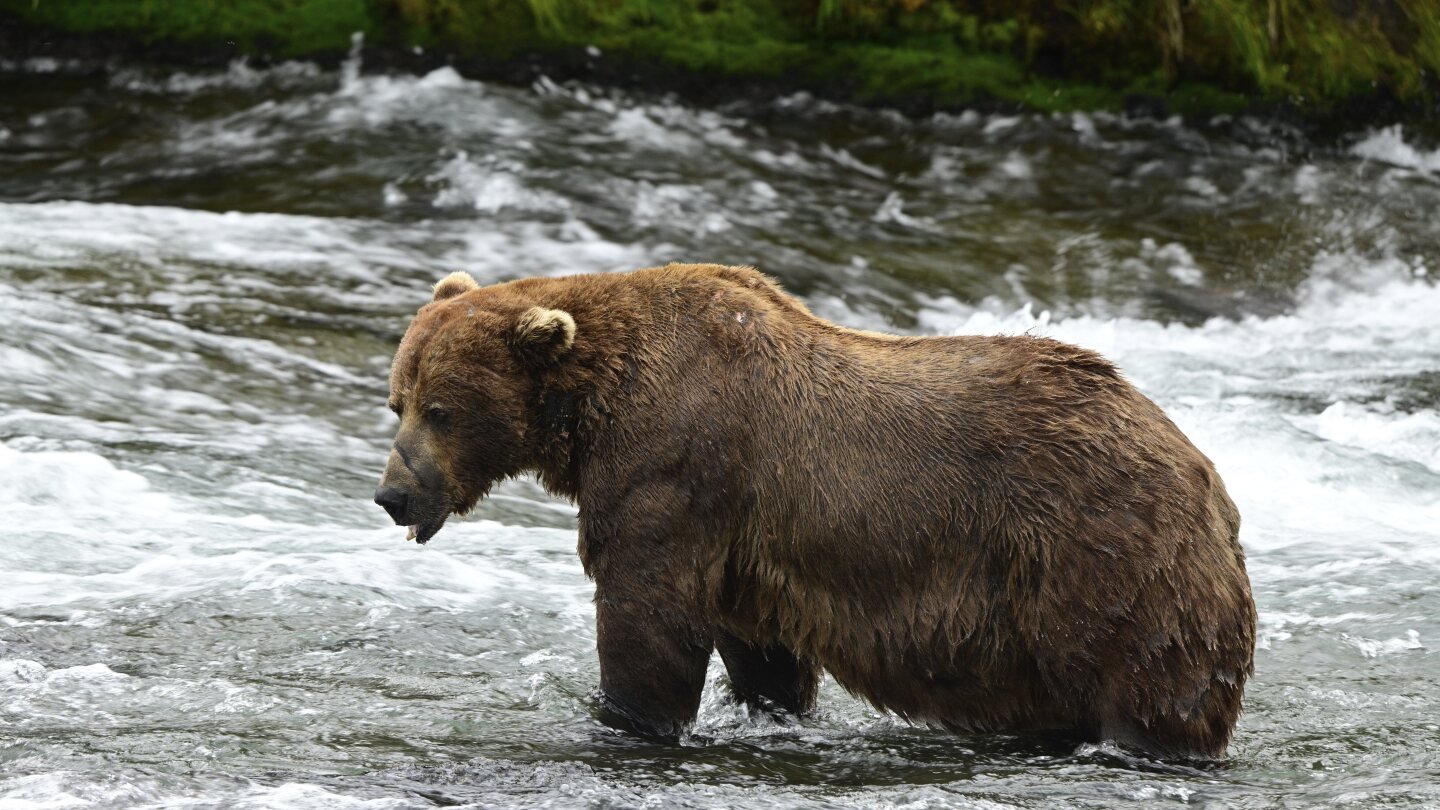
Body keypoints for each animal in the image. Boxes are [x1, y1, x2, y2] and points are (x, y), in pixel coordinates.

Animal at [373, 263, 1257, 760]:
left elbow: (647, 615)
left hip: (1104, 556)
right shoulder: (743, 540)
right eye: (398, 401)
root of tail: (1207, 476)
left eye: (441, 409)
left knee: (1150, 686)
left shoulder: (674, 464)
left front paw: (624, 718)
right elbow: (759, 649)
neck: (592, 406)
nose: (393, 494)